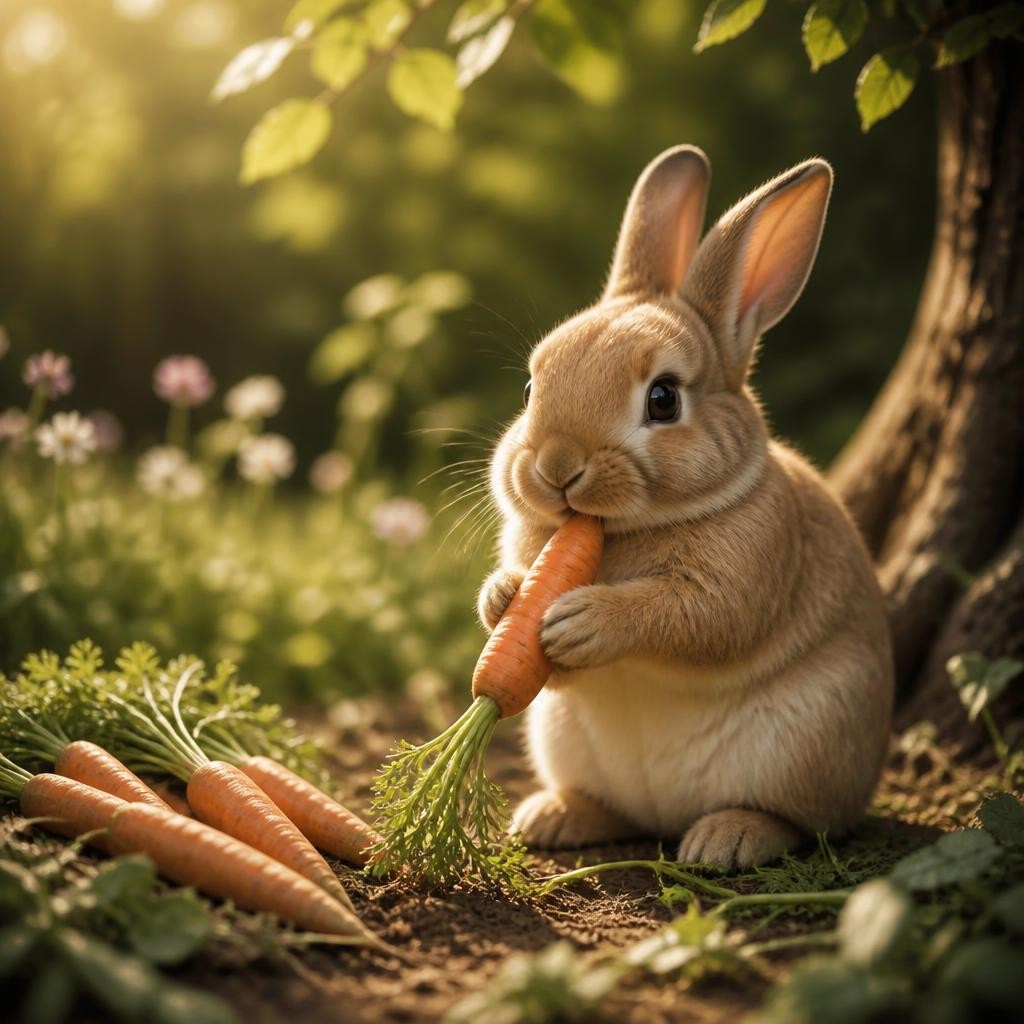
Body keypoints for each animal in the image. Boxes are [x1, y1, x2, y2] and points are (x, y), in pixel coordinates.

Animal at [477, 145, 894, 869]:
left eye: (664, 399)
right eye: (531, 387)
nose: (556, 468)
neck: (617, 533)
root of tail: (665, 818)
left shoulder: (740, 579)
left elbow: (689, 616)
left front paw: (580, 621)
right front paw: (506, 597)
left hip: (809, 745)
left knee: (803, 823)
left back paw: (724, 841)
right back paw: (551, 818)